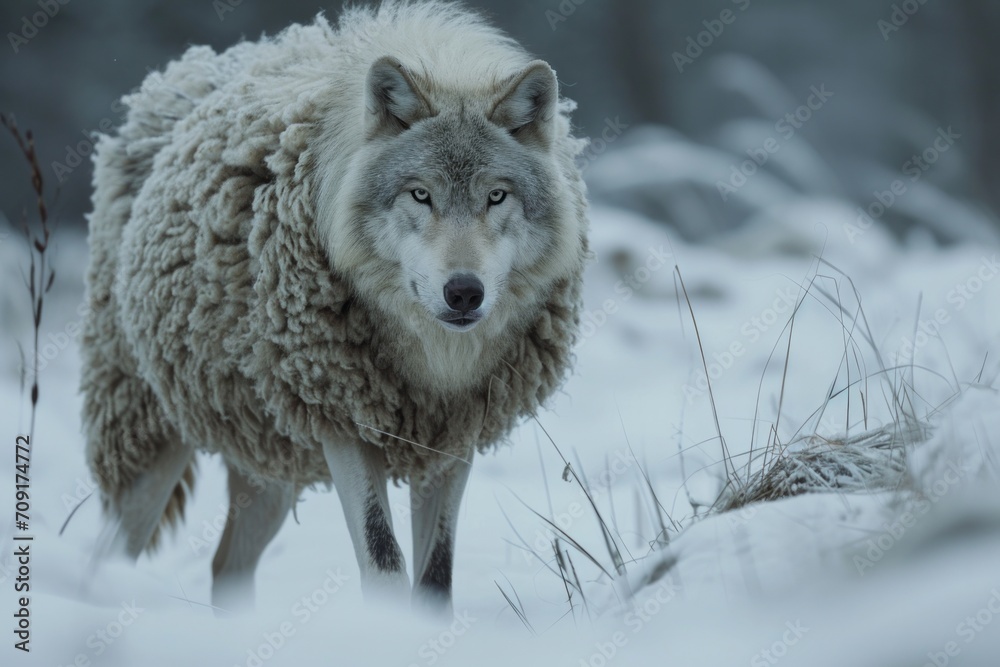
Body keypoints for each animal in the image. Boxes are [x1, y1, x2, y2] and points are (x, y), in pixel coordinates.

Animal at [80, 0, 588, 614]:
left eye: (496, 196)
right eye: (420, 194)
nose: (464, 292)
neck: (433, 364)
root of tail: (170, 75)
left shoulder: (451, 438)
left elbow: (435, 581)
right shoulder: (343, 422)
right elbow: (385, 567)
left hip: (266, 461)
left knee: (227, 567)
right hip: (148, 446)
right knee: (105, 563)